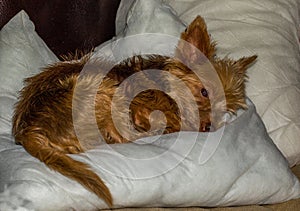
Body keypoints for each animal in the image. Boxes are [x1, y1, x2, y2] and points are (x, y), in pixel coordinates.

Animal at [12, 16, 256, 206]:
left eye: (224, 109)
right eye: (204, 92)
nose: (208, 127)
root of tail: (27, 130)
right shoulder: (139, 107)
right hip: (102, 88)